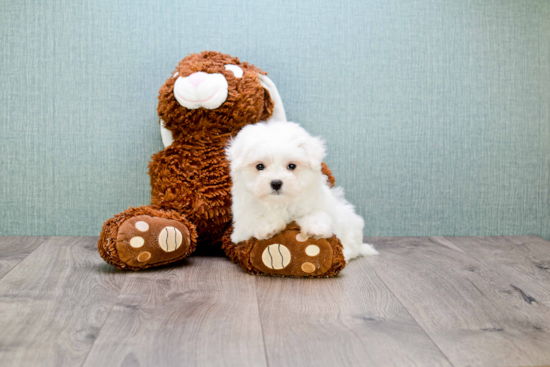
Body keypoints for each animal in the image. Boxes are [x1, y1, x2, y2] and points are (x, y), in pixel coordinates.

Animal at [227, 121, 380, 262]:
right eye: (260, 166)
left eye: (291, 166)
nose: (276, 183)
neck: (281, 202)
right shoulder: (241, 225)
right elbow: (256, 219)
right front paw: (268, 227)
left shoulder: (318, 202)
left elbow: (316, 213)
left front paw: (316, 229)